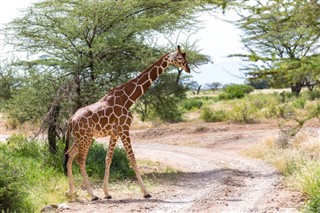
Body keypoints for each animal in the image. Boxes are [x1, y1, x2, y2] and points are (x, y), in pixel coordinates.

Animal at [63, 45, 191, 201]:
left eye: (185, 56)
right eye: (179, 58)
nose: (188, 68)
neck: (128, 99)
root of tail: (70, 120)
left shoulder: (115, 133)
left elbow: (108, 158)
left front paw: (107, 193)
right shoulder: (124, 129)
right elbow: (132, 158)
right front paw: (146, 192)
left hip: (79, 139)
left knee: (69, 156)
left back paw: (71, 192)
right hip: (86, 138)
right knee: (80, 160)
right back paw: (92, 195)